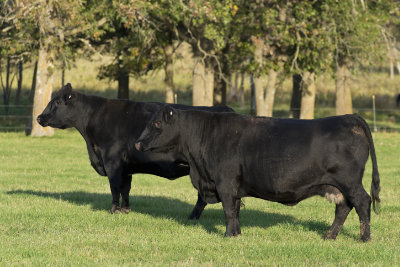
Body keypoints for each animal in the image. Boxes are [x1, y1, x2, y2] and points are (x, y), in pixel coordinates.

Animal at [37, 84, 233, 218]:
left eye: (56, 102)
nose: (39, 117)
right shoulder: (126, 167)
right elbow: (126, 189)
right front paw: (125, 209)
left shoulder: (112, 162)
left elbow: (115, 188)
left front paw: (113, 210)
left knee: (203, 197)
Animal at [135, 105, 382, 242]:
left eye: (157, 123)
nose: (137, 143)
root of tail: (348, 117)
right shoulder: (233, 187)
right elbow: (235, 210)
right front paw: (236, 234)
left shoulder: (225, 183)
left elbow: (228, 211)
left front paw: (228, 235)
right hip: (337, 187)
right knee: (343, 208)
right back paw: (329, 236)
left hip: (349, 182)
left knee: (362, 203)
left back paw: (364, 238)